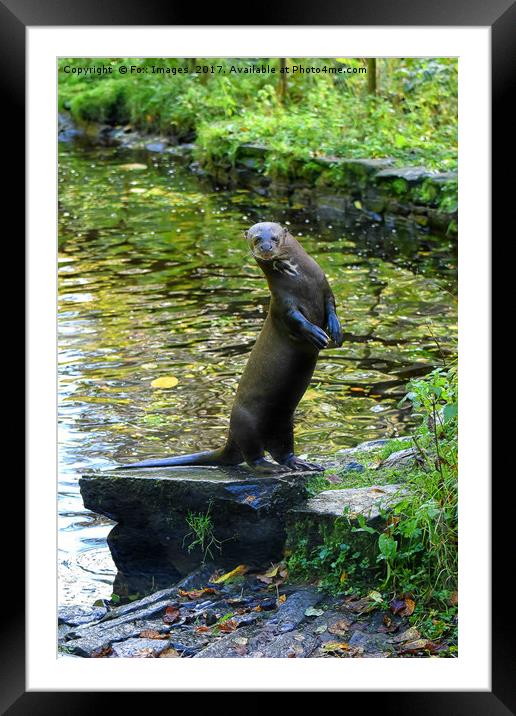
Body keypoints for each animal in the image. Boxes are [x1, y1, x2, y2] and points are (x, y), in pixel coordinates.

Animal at [118, 221, 340, 472]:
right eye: (256, 239)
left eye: (273, 238)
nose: (265, 248)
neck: (301, 281)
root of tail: (230, 438)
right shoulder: (283, 305)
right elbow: (296, 321)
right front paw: (317, 334)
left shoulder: (324, 287)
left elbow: (332, 307)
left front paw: (335, 331)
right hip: (247, 424)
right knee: (253, 456)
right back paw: (270, 467)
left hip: (283, 423)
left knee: (282, 450)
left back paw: (300, 463)